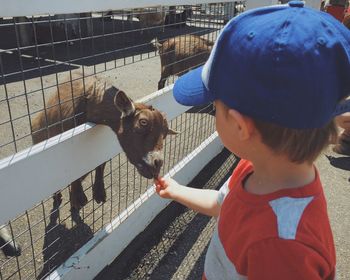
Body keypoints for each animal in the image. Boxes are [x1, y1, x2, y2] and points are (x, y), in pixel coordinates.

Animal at [31, 75, 176, 209]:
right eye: (143, 122)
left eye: (164, 134)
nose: (157, 164)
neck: (89, 101)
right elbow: (73, 170)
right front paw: (78, 197)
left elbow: (101, 164)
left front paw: (99, 192)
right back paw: (58, 196)